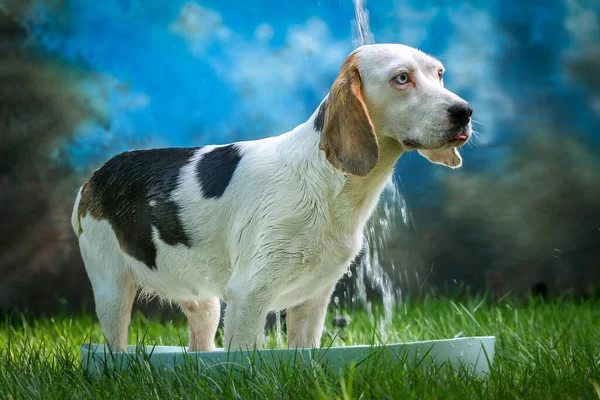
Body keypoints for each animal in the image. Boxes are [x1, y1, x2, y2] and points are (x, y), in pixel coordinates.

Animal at [71, 43, 474, 350]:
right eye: (401, 78)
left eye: (440, 74)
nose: (465, 112)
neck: (328, 184)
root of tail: (93, 177)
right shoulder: (250, 295)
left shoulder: (313, 300)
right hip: (111, 290)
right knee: (116, 347)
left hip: (204, 302)